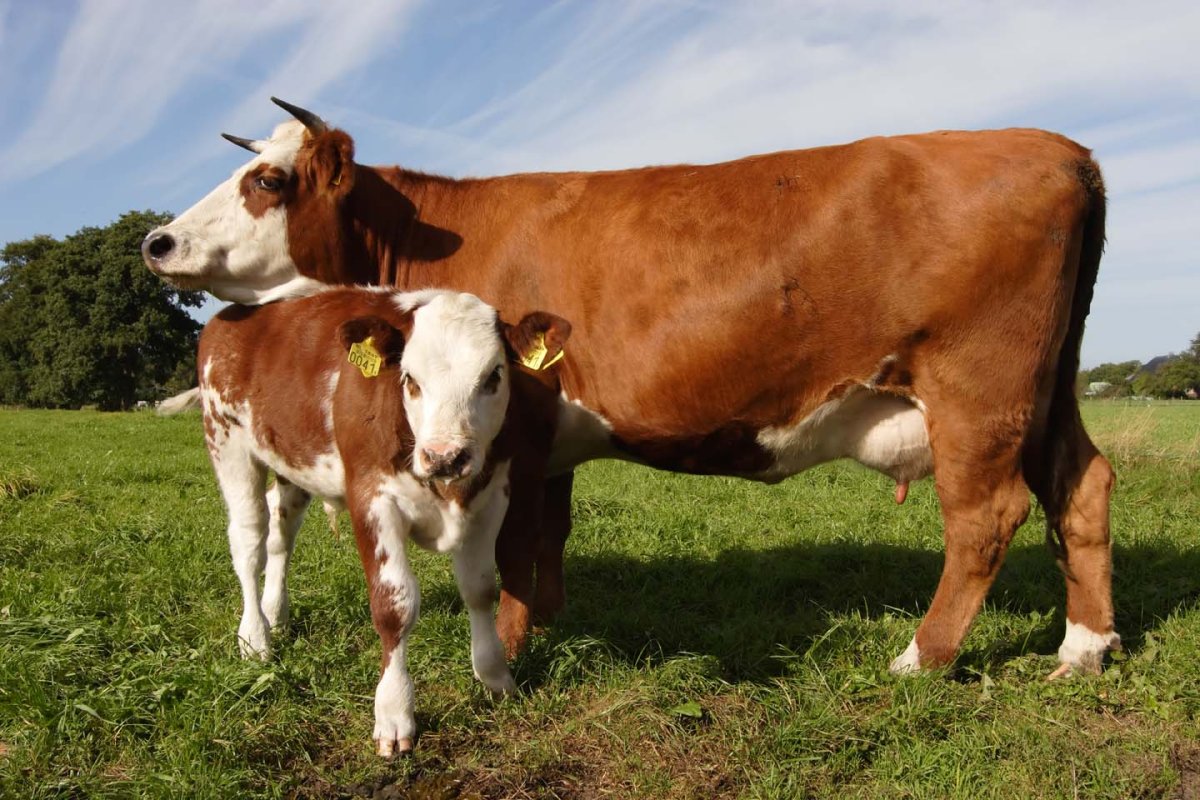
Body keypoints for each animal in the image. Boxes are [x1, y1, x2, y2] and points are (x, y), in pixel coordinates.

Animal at [146, 97, 1119, 678]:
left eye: (268, 179)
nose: (156, 241)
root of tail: (1060, 147)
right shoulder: (550, 435)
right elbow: (550, 535)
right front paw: (550, 617)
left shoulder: (511, 427)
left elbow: (510, 548)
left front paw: (510, 645)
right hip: (1045, 392)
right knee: (1082, 484)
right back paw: (1083, 646)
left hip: (978, 395)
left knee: (985, 517)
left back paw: (923, 658)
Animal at [198, 286, 570, 756]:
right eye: (410, 380)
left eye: (493, 377)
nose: (445, 457)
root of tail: (236, 313)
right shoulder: (371, 497)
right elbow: (394, 606)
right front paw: (394, 713)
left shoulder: (491, 495)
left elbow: (481, 590)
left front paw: (494, 675)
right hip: (227, 442)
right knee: (249, 542)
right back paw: (255, 638)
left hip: (291, 464)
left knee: (281, 534)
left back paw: (275, 614)